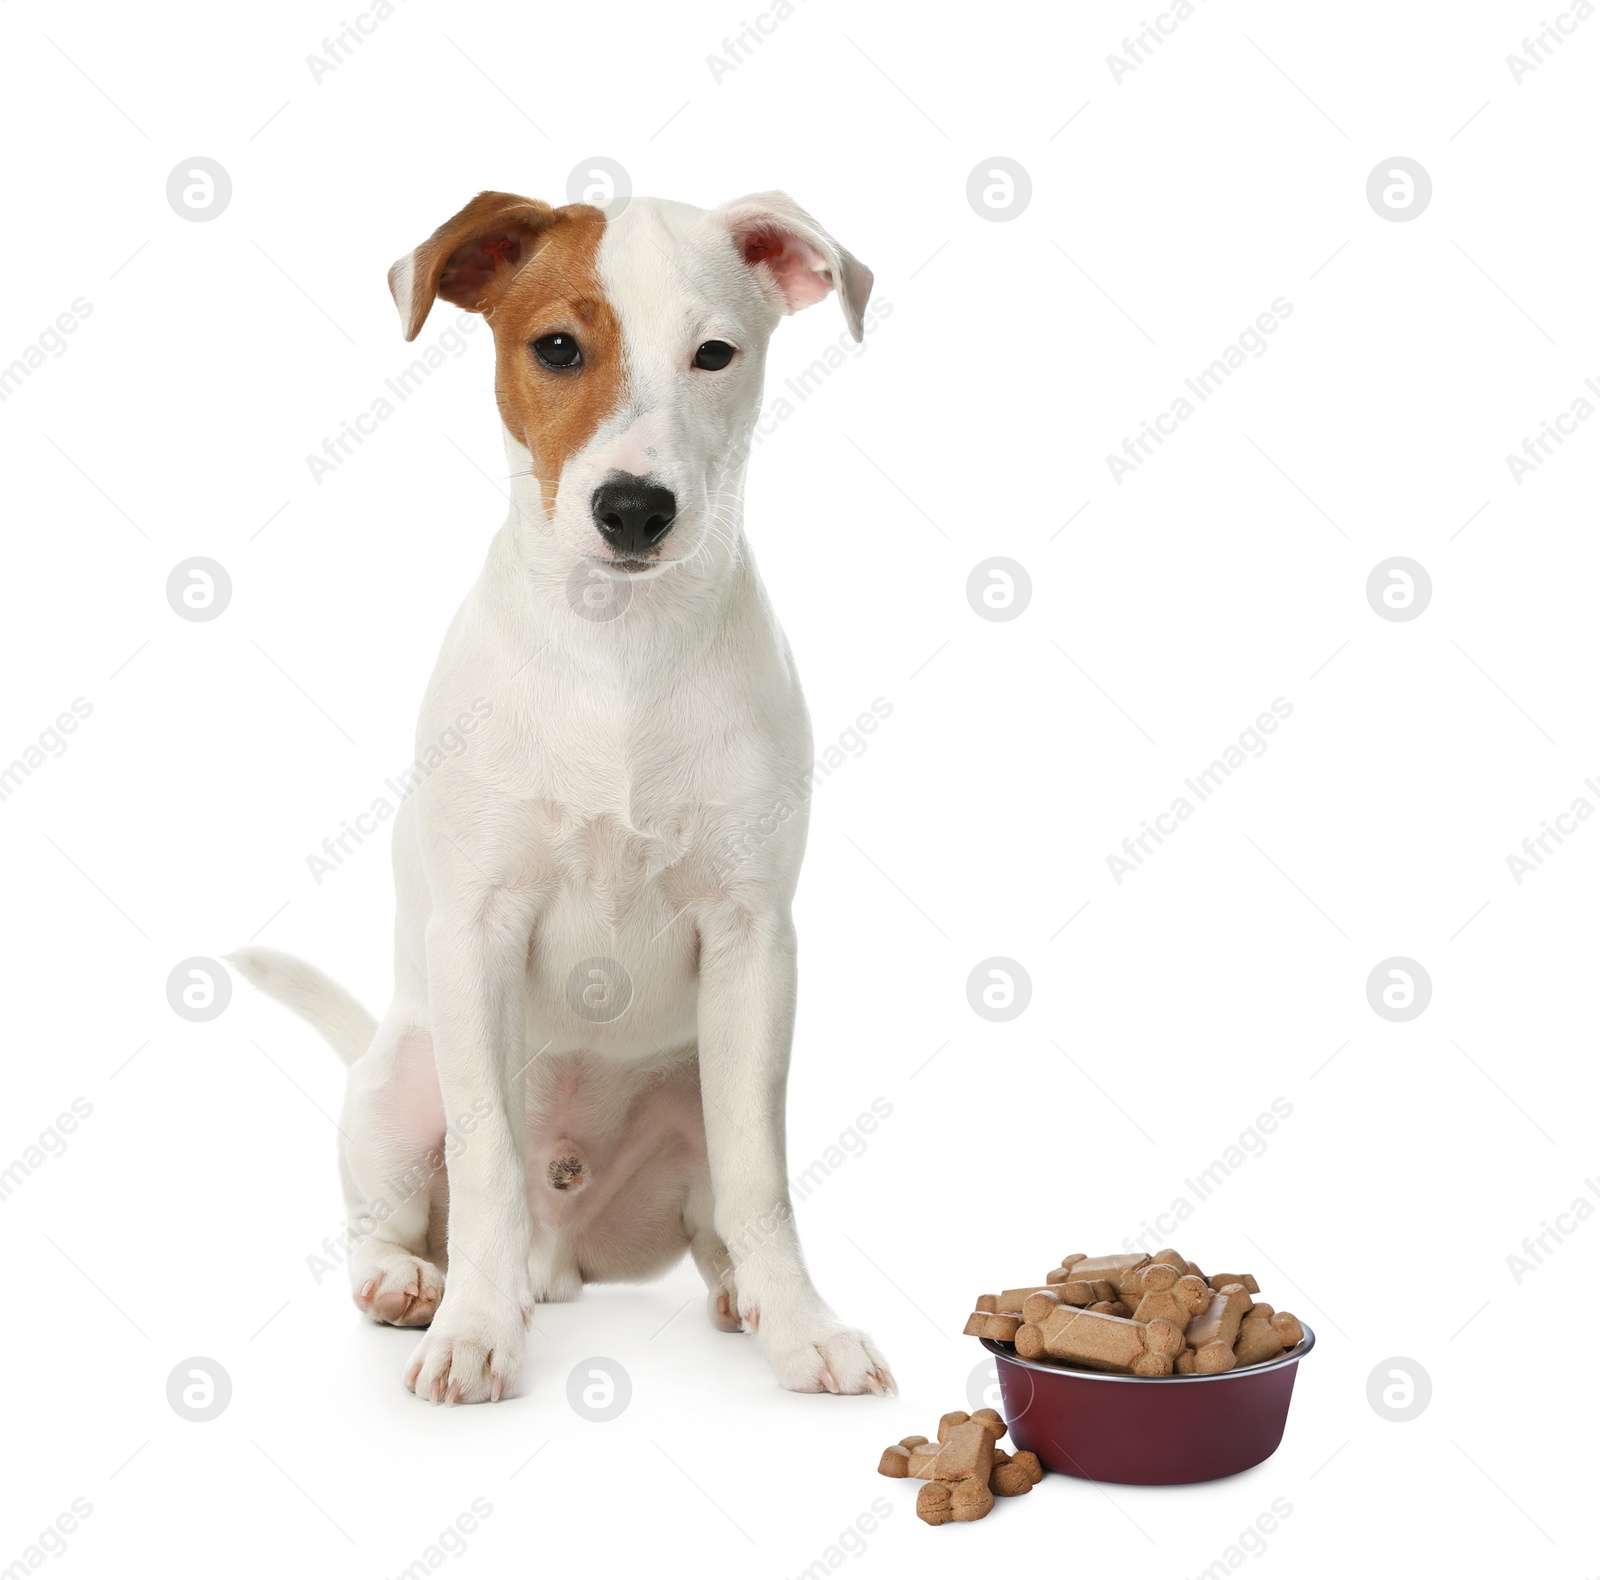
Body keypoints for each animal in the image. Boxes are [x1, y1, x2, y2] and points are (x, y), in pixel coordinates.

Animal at [230, 187, 896, 1407]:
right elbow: (488, 1159)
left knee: (716, 1213)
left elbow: (761, 1175)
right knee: (396, 1210)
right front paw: (474, 1331)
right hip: (398, 1077)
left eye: (714, 355)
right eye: (555, 348)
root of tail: (567, 1254)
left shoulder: (753, 943)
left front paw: (800, 1323)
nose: (634, 508)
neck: (618, 649)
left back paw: (732, 1292)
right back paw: (413, 1282)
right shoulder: (477, 933)